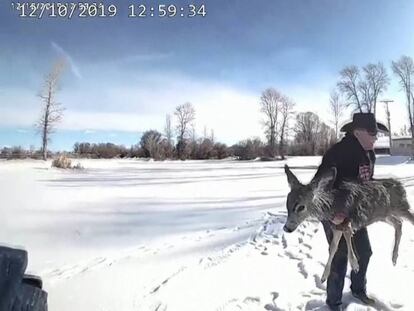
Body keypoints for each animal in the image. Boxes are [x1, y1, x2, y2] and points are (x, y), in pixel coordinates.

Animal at [284, 165, 412, 284]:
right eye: (287, 205)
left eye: (301, 207)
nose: (286, 228)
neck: (332, 206)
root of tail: (400, 185)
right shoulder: (336, 226)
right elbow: (333, 247)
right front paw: (324, 276)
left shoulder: (346, 221)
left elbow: (347, 237)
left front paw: (355, 265)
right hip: (383, 215)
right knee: (398, 223)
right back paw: (394, 258)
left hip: (400, 207)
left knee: (409, 218)